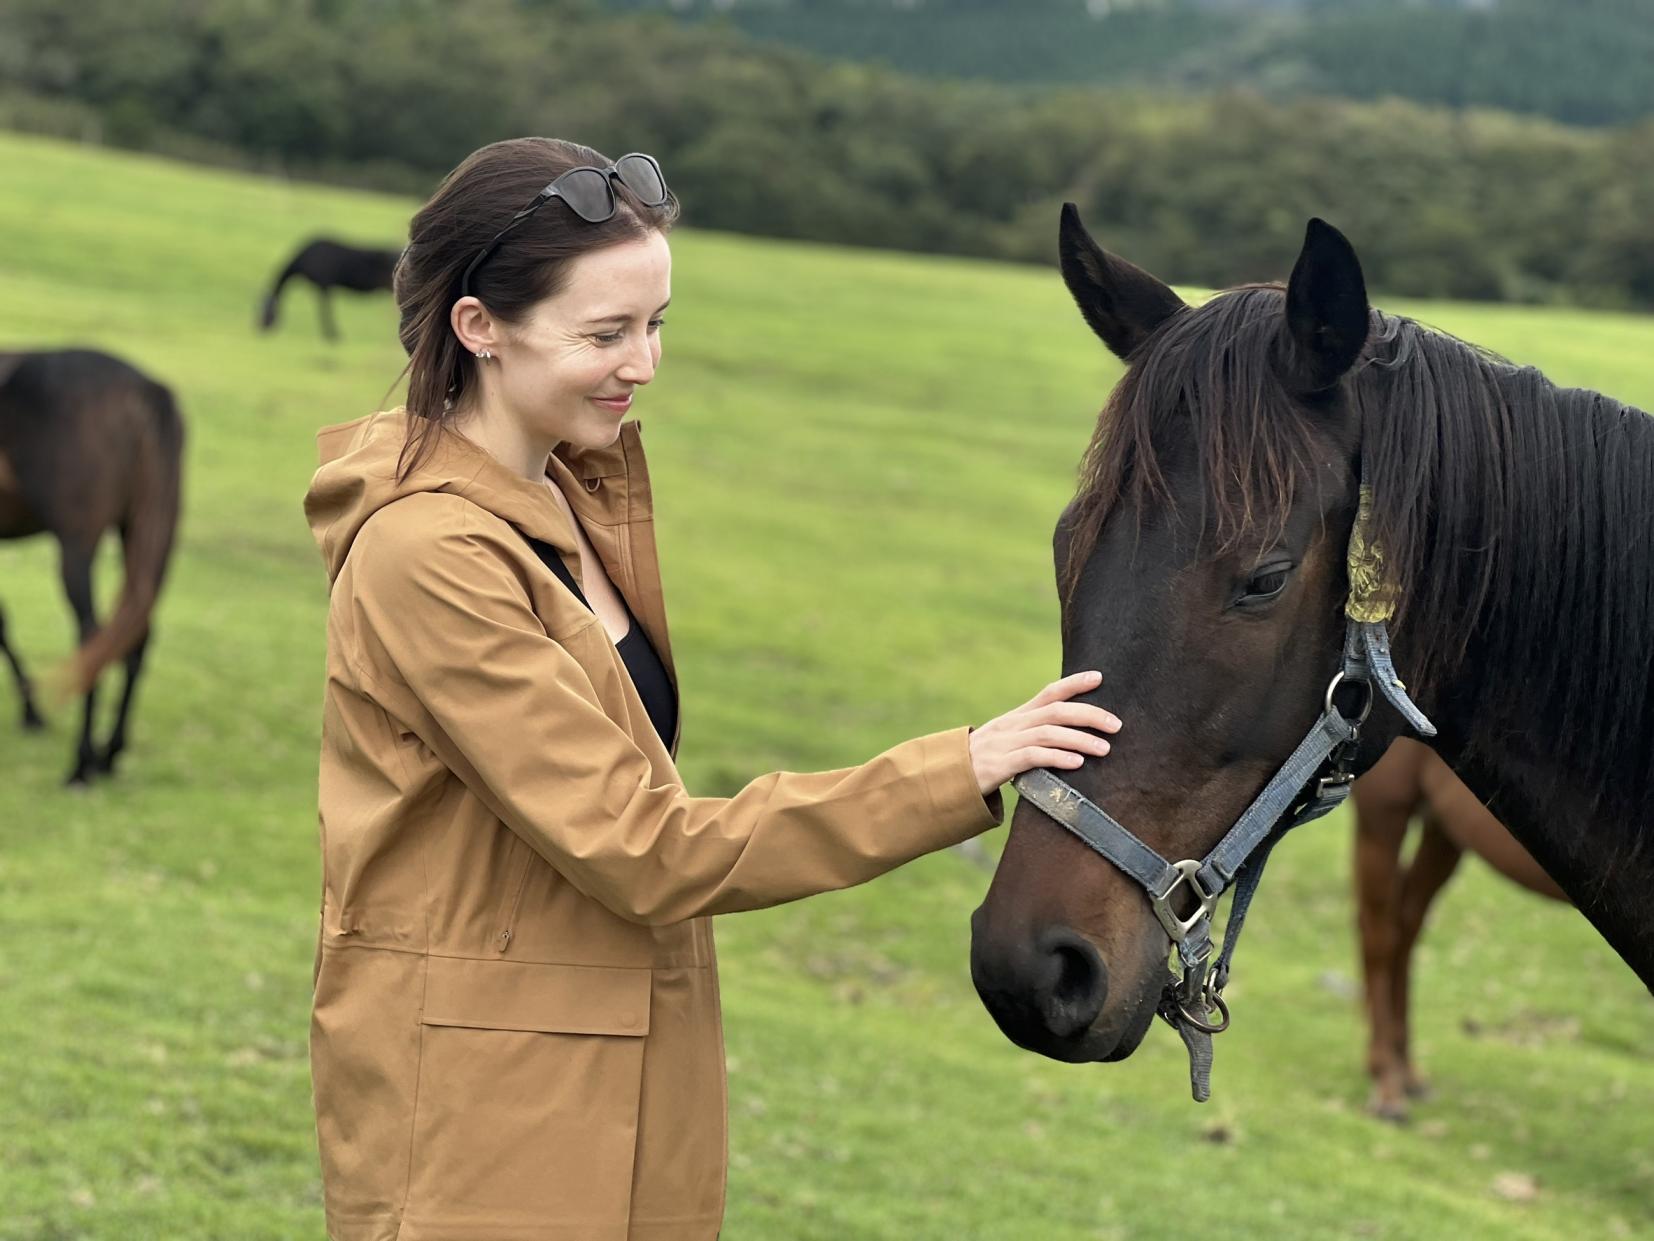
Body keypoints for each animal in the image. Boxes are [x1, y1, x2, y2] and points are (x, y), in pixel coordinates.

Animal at [0, 347, 182, 787]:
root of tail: (146, 389)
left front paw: (32, 712)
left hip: (78, 545)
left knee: (90, 636)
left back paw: (81, 765)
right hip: (135, 530)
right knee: (134, 635)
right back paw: (108, 755)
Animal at [258, 238, 400, 342]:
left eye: (266, 312)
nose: (259, 328)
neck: (307, 258)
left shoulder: (323, 285)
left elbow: (325, 311)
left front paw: (332, 335)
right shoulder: (324, 287)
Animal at [1349, 737, 1567, 1125]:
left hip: (1444, 825)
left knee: (1404, 924)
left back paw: (1405, 1069)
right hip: (1385, 811)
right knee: (1380, 935)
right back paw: (1386, 1080)